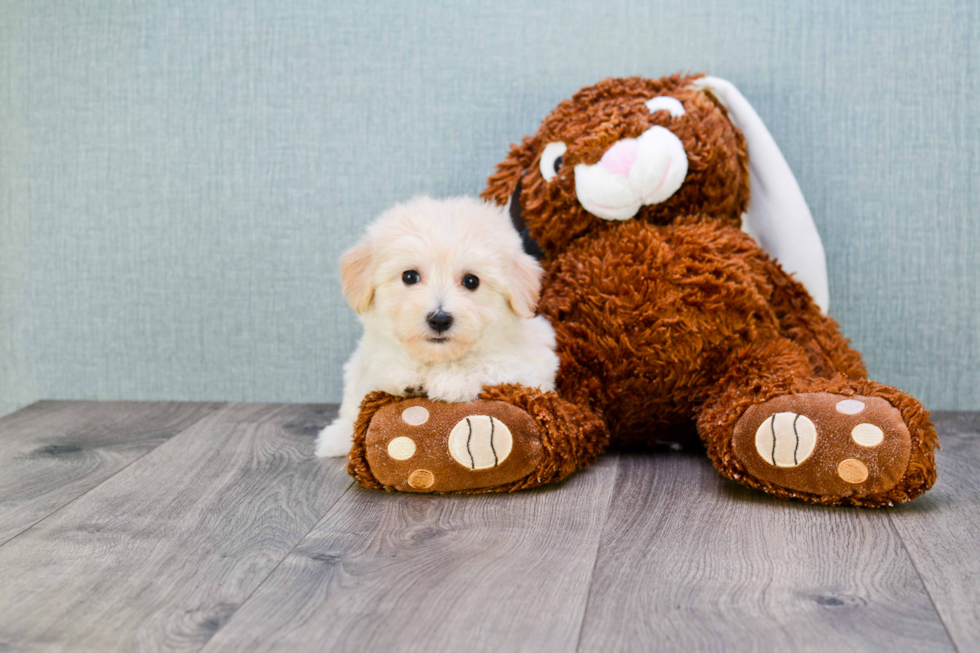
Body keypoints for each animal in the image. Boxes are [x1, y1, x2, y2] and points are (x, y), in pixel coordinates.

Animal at [314, 196, 560, 456]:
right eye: (409, 276)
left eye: (471, 281)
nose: (440, 319)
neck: (437, 358)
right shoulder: (365, 360)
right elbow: (366, 385)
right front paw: (405, 376)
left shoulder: (531, 363)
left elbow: (490, 364)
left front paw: (451, 381)